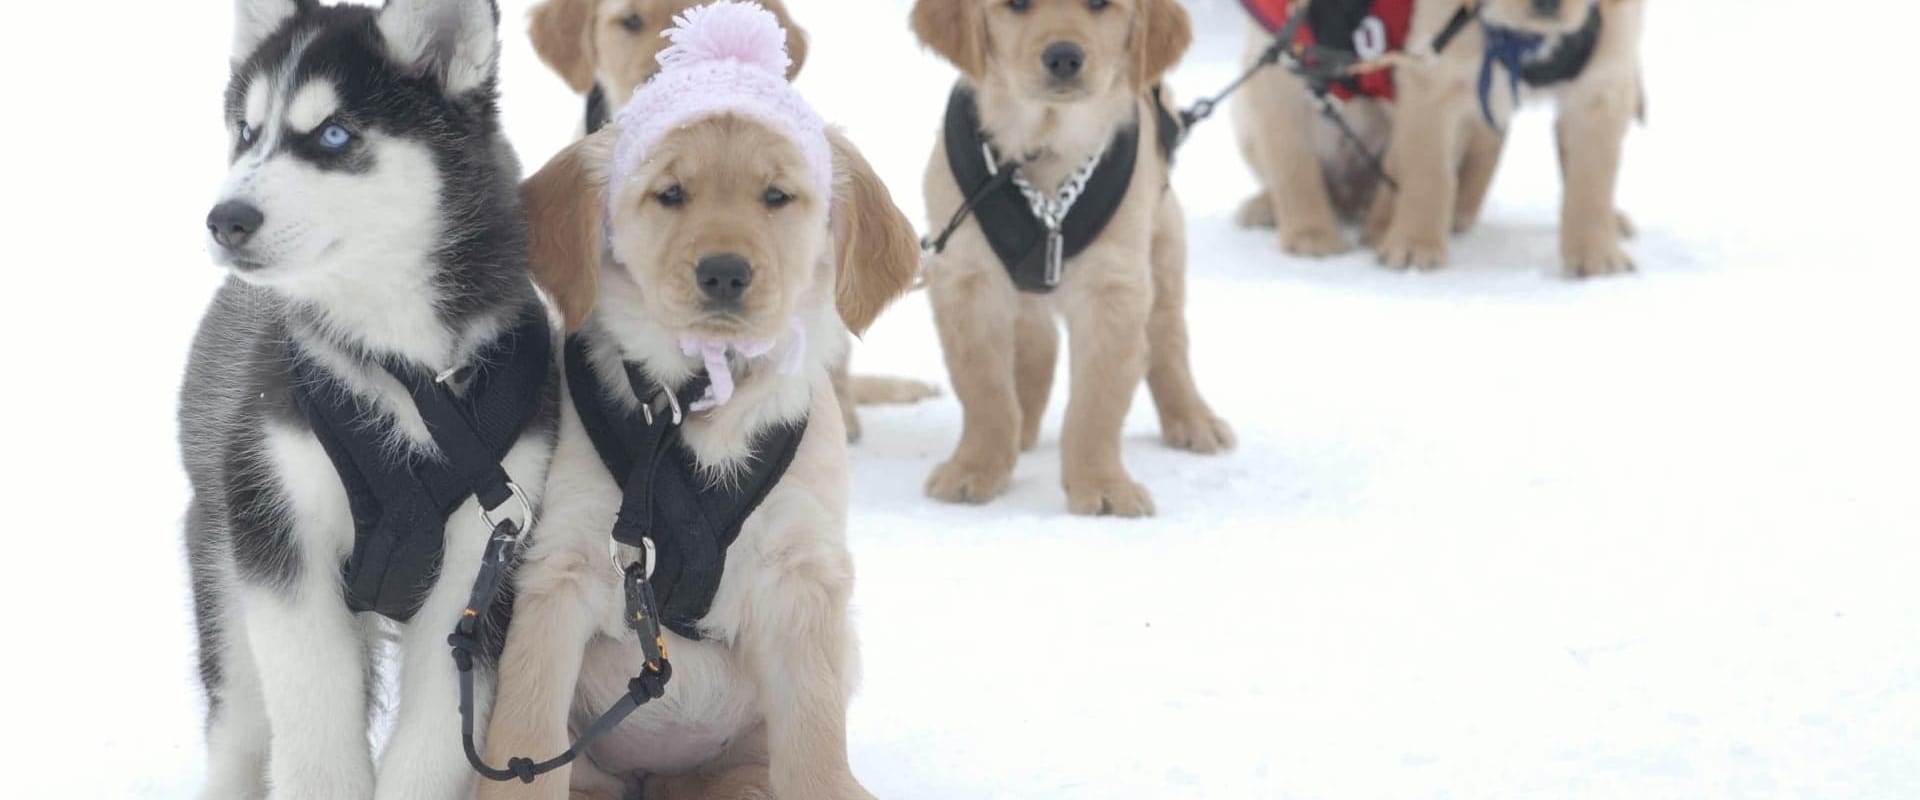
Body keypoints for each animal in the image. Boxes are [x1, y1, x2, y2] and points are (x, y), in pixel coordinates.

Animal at [184, 1, 556, 798]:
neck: (404, 371)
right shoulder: (280, 532)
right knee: (240, 728)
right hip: (224, 572)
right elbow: (315, 726)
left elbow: (434, 741)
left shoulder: (489, 557)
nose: (225, 219)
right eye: (247, 132)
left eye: (332, 134)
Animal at [910, 0, 1228, 517]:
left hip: (1163, 246)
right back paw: (1022, 429)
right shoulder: (965, 278)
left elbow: (1097, 399)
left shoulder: (1113, 287)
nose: (1064, 57)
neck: (1045, 144)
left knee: (1168, 341)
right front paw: (976, 468)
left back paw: (1193, 419)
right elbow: (984, 387)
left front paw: (1103, 484)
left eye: (1100, 5)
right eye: (1017, 6)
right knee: (1037, 340)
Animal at [1382, 0, 1651, 274]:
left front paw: (1596, 254)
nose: (1547, 4)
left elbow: (1591, 182)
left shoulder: (1602, 85)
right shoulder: (1432, 74)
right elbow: (1430, 174)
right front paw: (1415, 243)